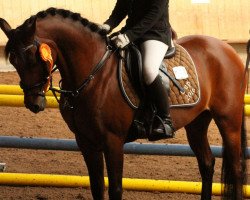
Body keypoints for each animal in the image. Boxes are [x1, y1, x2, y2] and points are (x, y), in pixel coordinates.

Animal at [0, 7, 247, 200]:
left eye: (33, 57)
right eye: (13, 60)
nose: (34, 103)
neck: (95, 74)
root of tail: (224, 47)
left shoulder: (113, 141)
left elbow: (115, 189)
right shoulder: (86, 142)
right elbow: (97, 188)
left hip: (229, 120)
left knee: (235, 169)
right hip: (197, 122)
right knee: (206, 163)